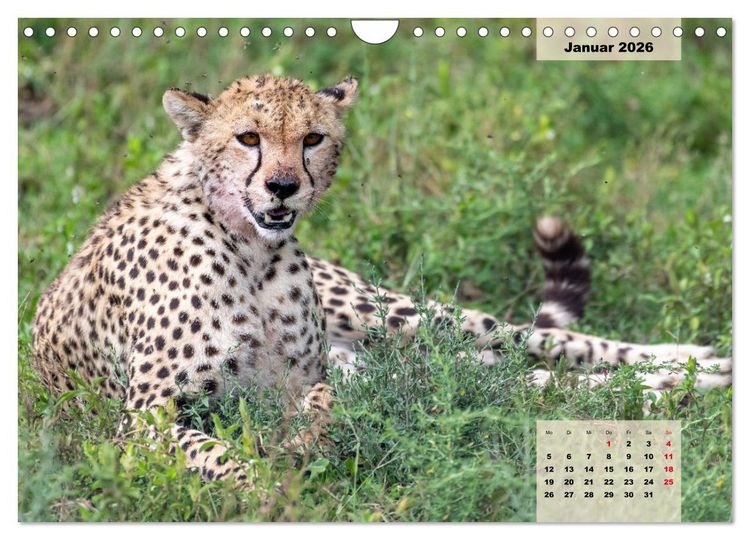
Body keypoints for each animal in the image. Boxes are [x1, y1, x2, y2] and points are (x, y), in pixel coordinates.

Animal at [31, 74, 732, 486]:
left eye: (313, 138)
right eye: (248, 138)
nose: (282, 186)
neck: (251, 250)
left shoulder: (299, 382)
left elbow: (294, 419)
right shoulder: (146, 417)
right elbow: (225, 453)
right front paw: (273, 483)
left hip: (397, 315)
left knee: (545, 344)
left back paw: (692, 364)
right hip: (414, 361)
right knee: (529, 387)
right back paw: (670, 390)